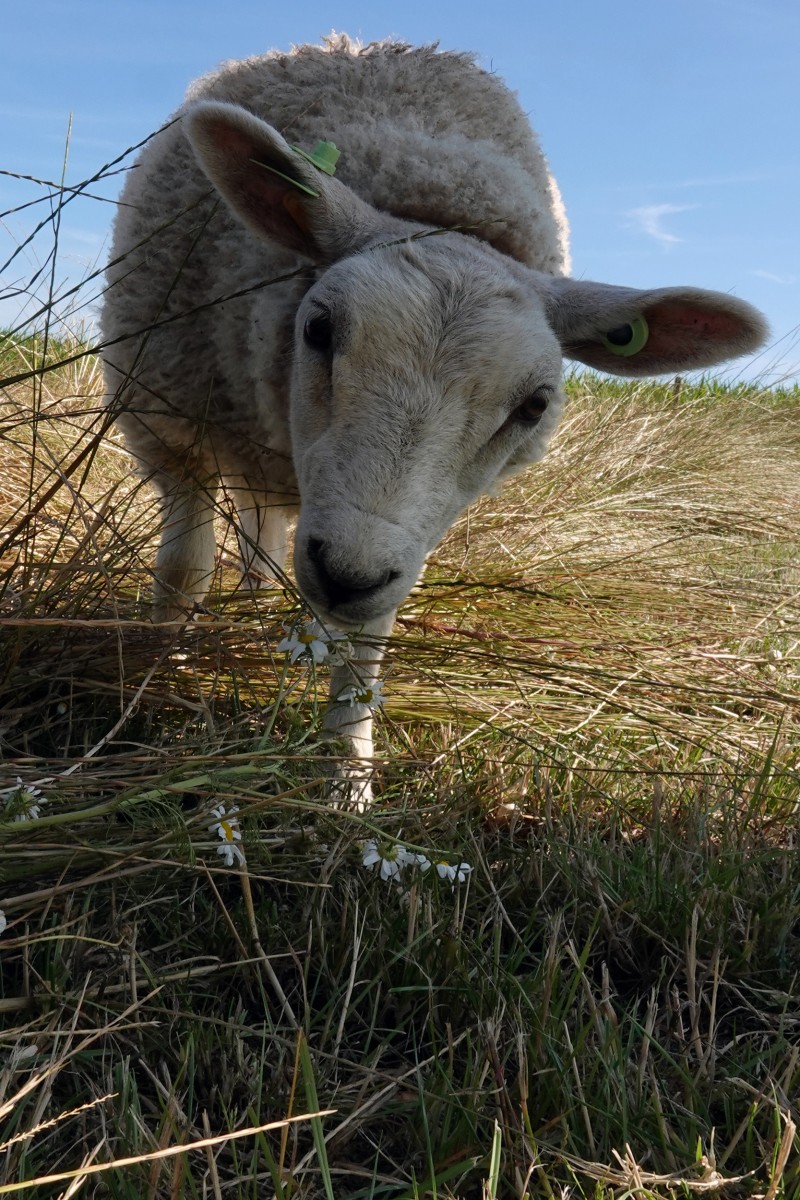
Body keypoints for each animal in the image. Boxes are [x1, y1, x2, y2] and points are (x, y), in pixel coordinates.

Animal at [101, 35, 767, 804]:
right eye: (319, 329)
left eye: (534, 406)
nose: (347, 575)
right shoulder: (169, 427)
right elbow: (183, 571)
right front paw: (147, 697)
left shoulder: (404, 535)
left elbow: (368, 639)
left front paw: (347, 778)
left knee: (264, 536)